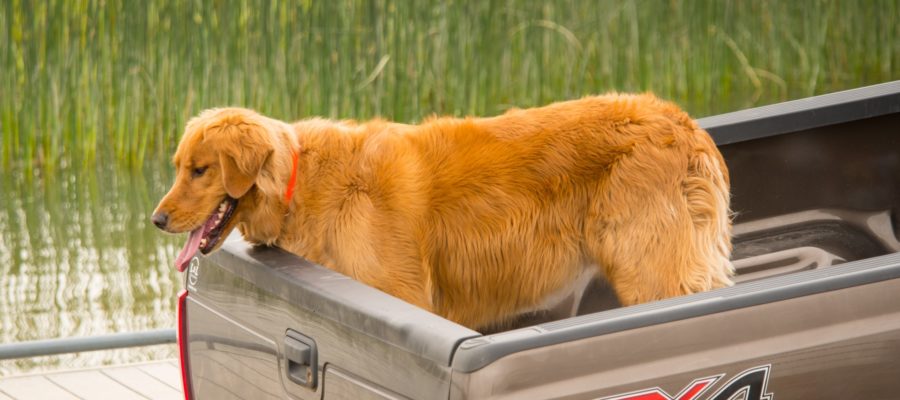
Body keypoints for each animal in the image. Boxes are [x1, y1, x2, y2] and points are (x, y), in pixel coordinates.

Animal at [151, 94, 736, 332]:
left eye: (200, 170)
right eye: (178, 167)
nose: (156, 220)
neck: (305, 183)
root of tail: (685, 124)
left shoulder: (405, 294)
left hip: (652, 274)